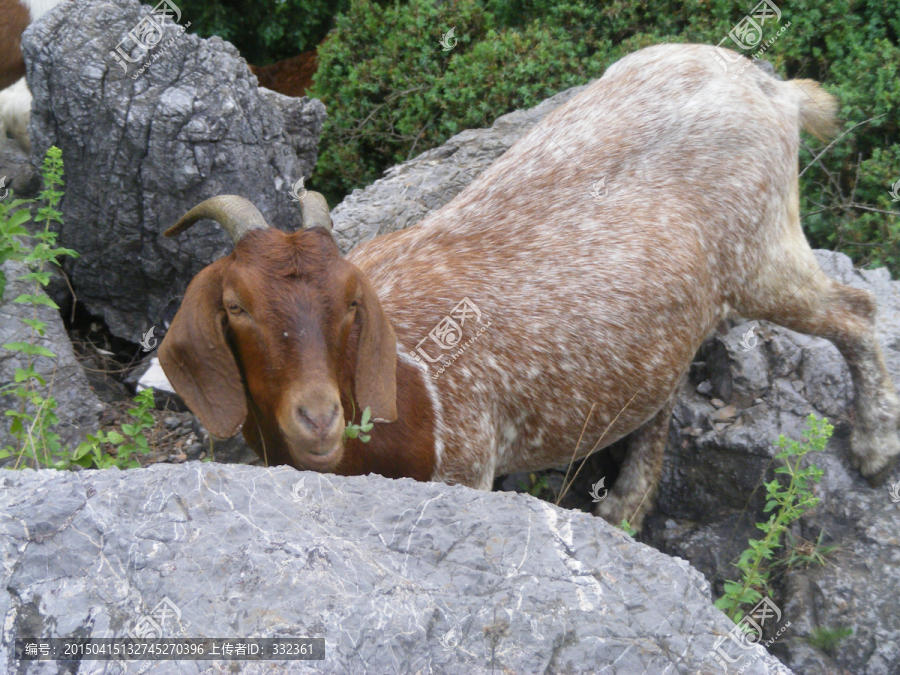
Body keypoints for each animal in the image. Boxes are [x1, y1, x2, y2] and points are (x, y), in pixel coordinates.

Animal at [160, 45, 900, 532]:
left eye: (350, 305)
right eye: (235, 306)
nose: (318, 419)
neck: (401, 388)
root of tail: (775, 91)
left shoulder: (465, 461)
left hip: (762, 252)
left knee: (855, 309)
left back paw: (874, 446)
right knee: (663, 385)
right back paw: (625, 508)